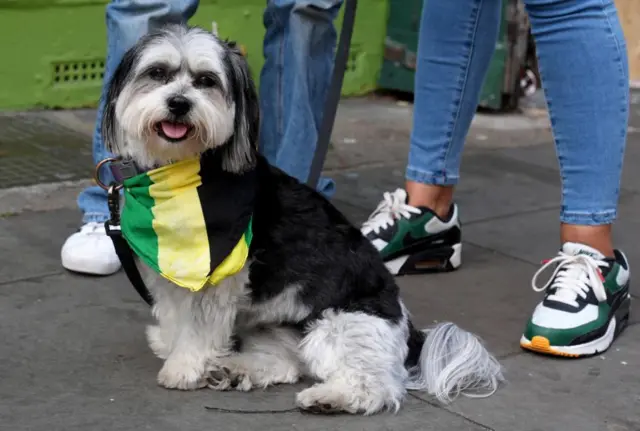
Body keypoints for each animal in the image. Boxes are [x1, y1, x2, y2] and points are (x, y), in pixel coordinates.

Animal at [101, 23, 504, 416]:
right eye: (157, 73)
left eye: (206, 81)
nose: (179, 104)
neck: (182, 173)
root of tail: (407, 329)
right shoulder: (165, 267)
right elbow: (173, 312)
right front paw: (170, 344)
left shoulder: (216, 278)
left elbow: (199, 327)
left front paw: (184, 367)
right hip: (274, 329)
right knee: (289, 364)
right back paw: (234, 370)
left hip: (341, 325)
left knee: (375, 385)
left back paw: (330, 397)